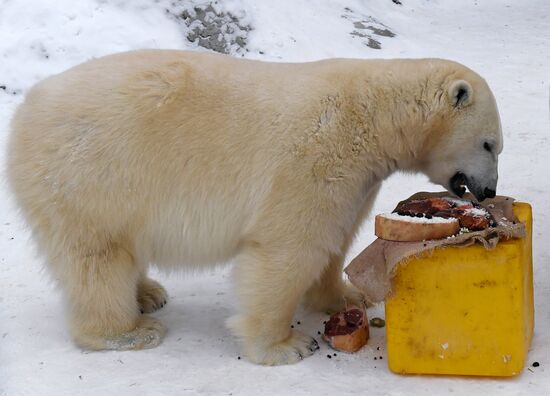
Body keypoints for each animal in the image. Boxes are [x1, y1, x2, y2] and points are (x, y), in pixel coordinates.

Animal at [5, 49, 504, 366]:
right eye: (489, 144)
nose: (486, 191)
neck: (373, 115)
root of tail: (26, 109)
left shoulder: (356, 179)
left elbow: (335, 238)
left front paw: (346, 296)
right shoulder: (314, 161)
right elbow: (290, 249)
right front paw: (286, 346)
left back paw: (147, 292)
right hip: (91, 174)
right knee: (96, 256)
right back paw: (128, 330)